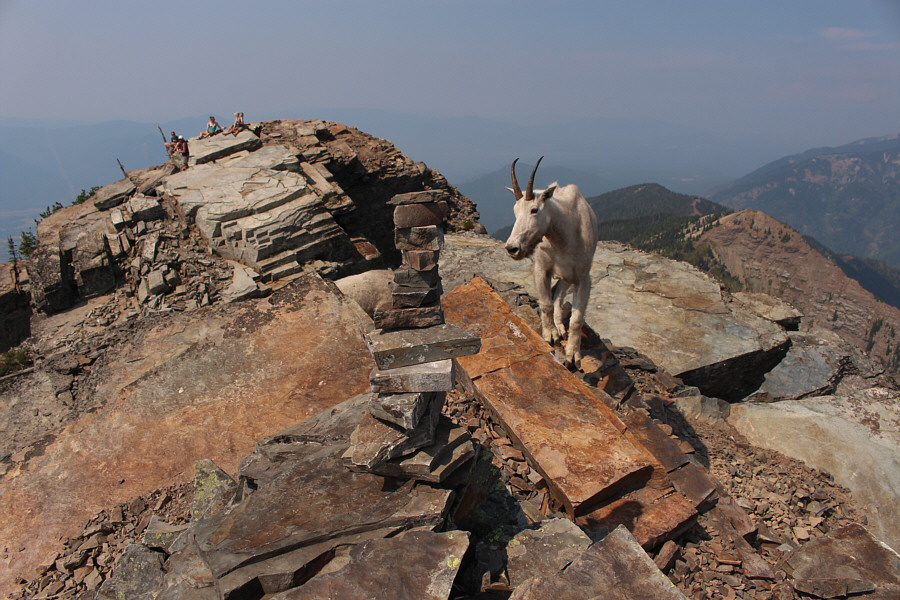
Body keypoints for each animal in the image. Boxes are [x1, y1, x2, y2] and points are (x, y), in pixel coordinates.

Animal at [504, 157, 599, 368]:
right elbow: (546, 303)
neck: (563, 238)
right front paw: (550, 335)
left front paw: (573, 356)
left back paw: (561, 328)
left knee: (559, 296)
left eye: (534, 210)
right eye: (514, 211)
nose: (512, 248)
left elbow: (577, 319)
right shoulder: (541, 269)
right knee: (555, 296)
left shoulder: (582, 278)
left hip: (568, 277)